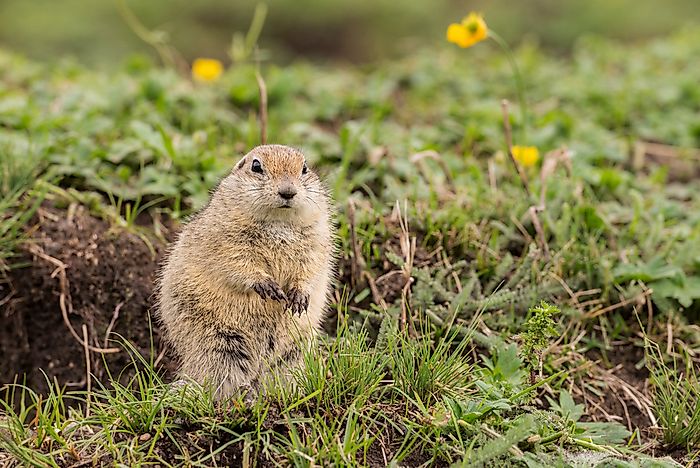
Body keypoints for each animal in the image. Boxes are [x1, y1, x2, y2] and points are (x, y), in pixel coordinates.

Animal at [157, 144, 336, 398]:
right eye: (256, 166)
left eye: (304, 168)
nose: (288, 192)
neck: (279, 222)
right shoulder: (227, 238)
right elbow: (237, 261)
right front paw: (268, 286)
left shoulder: (318, 236)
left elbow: (311, 267)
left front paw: (299, 297)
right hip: (218, 344)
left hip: (293, 354)